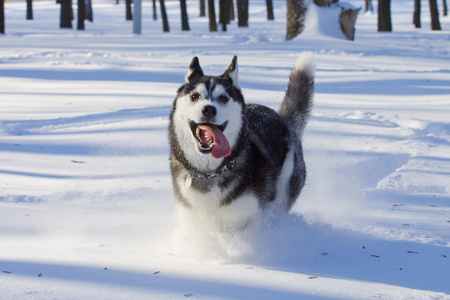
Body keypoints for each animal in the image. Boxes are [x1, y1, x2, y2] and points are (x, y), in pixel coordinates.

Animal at [170, 52, 316, 230]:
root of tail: (284, 121)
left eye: (223, 98)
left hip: (285, 186)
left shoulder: (245, 219)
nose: (209, 109)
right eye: (195, 96)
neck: (211, 173)